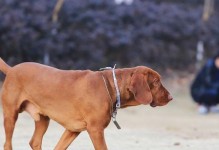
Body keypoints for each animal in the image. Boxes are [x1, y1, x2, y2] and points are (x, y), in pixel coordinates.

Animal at [0, 57, 173, 150]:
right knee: (7, 144)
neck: (111, 86)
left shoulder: (72, 129)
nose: (171, 97)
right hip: (10, 115)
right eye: (156, 82)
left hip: (43, 119)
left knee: (34, 142)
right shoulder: (96, 131)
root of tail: (11, 69)